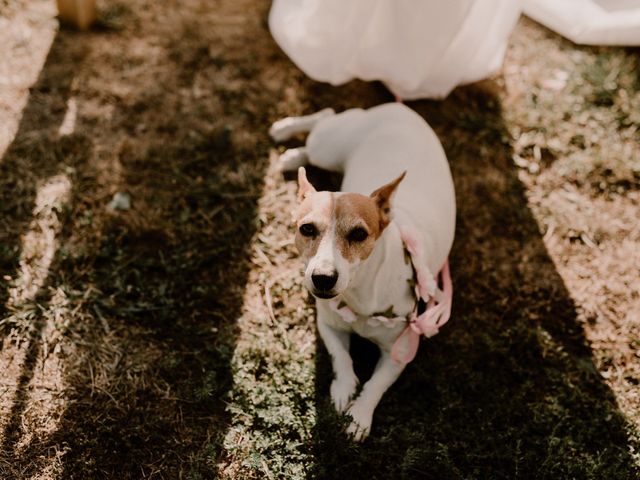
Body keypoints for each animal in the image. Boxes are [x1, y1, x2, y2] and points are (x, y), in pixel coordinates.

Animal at [270, 103, 456, 440]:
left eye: (359, 234)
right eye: (306, 229)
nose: (322, 278)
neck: (359, 294)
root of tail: (399, 106)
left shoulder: (401, 350)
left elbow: (376, 384)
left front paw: (360, 415)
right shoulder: (327, 325)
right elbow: (341, 357)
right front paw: (343, 389)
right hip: (327, 148)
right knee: (324, 118)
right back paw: (287, 138)